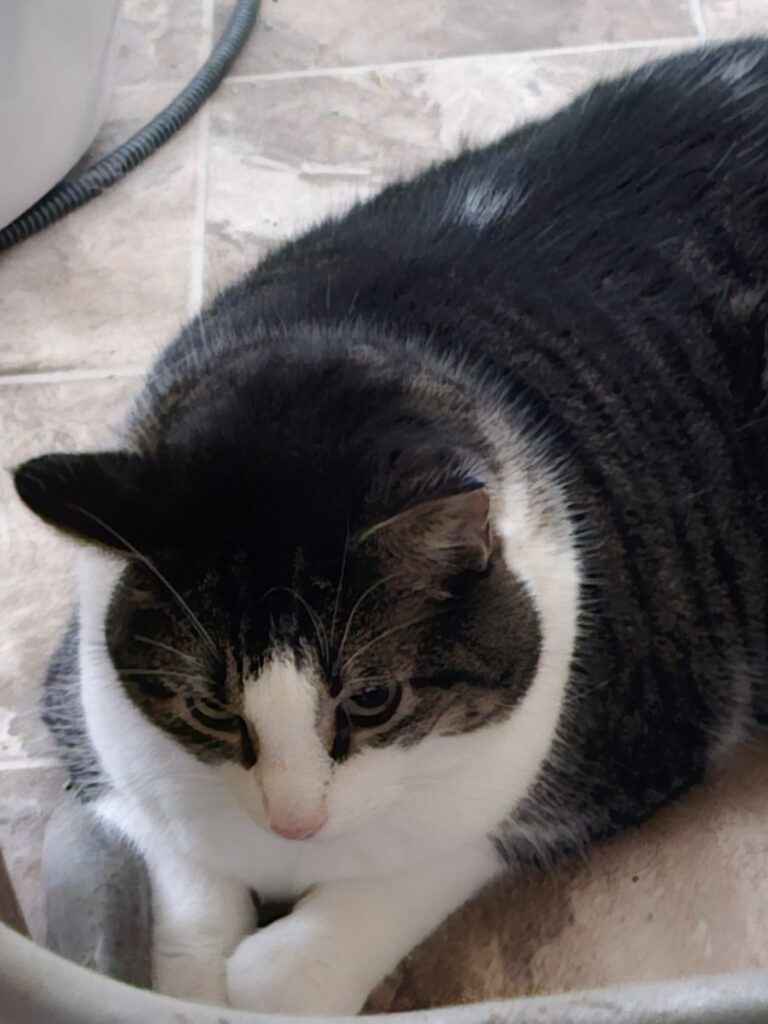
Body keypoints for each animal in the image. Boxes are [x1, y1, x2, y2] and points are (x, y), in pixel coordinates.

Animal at [14, 37, 768, 1013]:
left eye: (374, 700)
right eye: (210, 710)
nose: (297, 821)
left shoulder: (624, 741)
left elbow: (381, 898)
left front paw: (283, 965)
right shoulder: (85, 706)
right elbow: (175, 883)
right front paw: (189, 969)